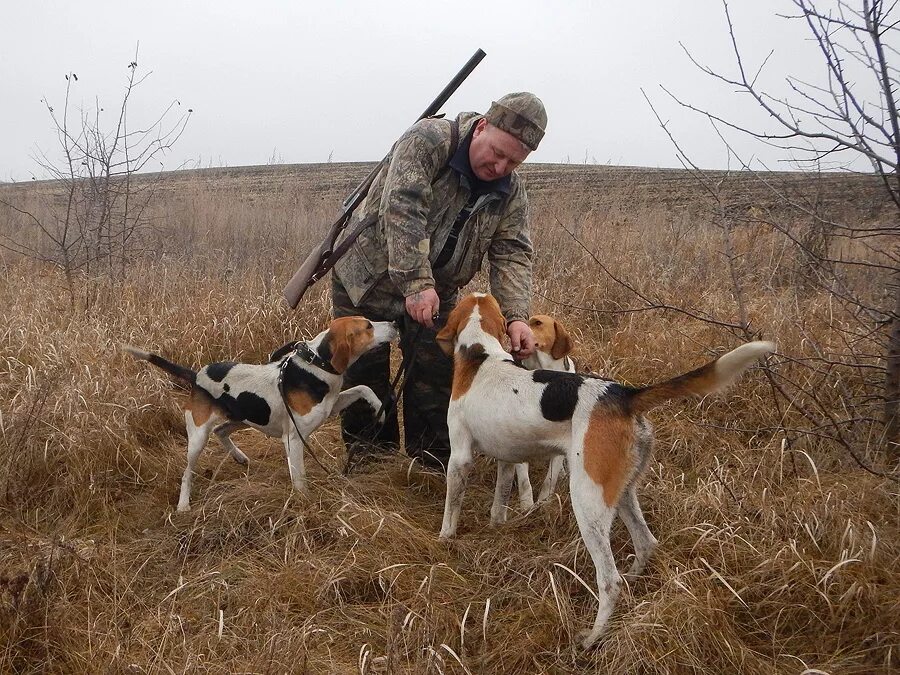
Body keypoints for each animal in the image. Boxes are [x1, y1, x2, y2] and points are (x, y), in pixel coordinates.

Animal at [124, 316, 398, 512]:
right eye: (368, 326)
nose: (395, 323)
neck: (317, 366)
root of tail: (196, 375)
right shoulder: (294, 439)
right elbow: (300, 477)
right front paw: (305, 502)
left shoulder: (331, 406)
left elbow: (363, 388)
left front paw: (379, 408)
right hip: (198, 436)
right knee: (187, 473)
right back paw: (183, 505)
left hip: (243, 418)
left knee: (221, 430)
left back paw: (239, 457)